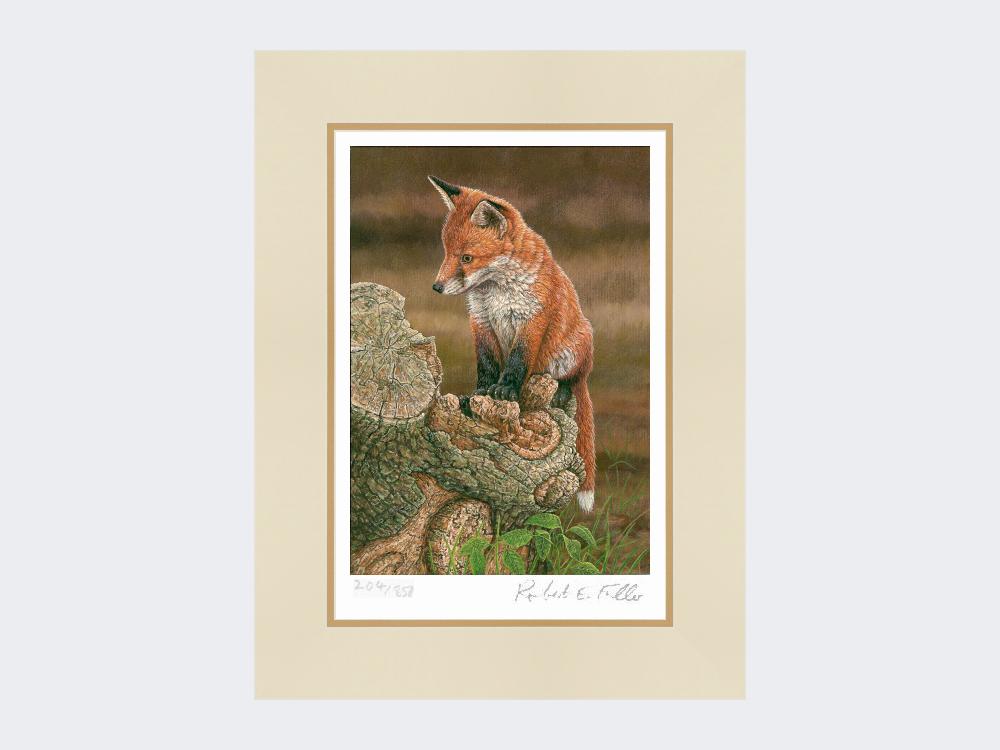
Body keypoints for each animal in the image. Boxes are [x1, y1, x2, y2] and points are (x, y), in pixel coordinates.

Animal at [427, 175, 596, 513]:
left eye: (467, 258)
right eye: (447, 252)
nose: (437, 287)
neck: (496, 292)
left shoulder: (531, 320)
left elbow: (518, 362)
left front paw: (505, 391)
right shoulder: (480, 321)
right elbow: (487, 364)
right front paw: (479, 393)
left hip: (572, 351)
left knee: (573, 380)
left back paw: (562, 391)